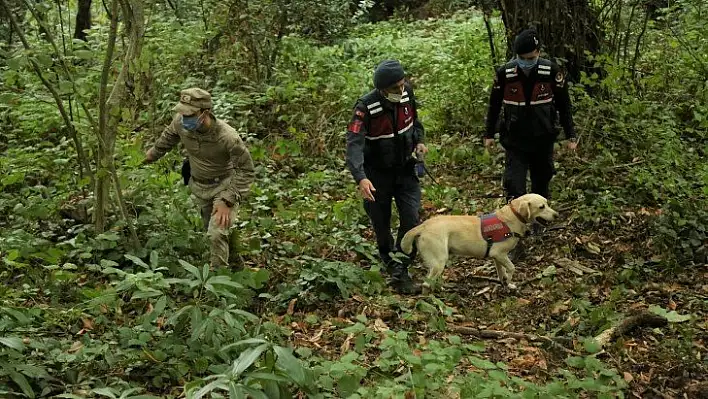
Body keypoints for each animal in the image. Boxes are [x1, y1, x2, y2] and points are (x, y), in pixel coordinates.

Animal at [398, 195, 560, 292]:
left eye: (547, 203)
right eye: (541, 207)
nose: (557, 215)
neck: (511, 217)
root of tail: (423, 225)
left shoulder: (497, 257)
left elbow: (501, 273)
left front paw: (506, 284)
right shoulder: (499, 254)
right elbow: (512, 268)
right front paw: (509, 280)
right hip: (439, 261)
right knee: (426, 284)